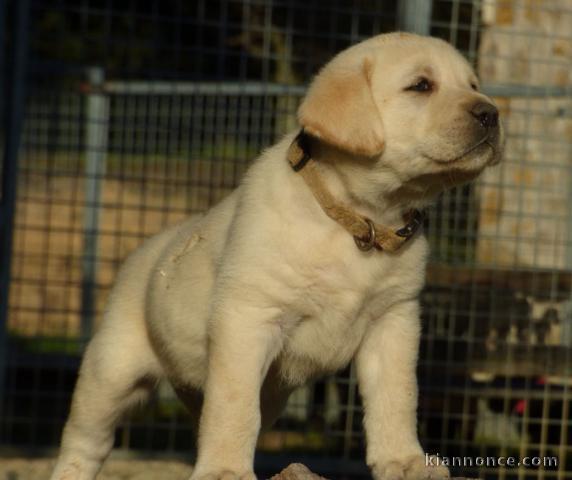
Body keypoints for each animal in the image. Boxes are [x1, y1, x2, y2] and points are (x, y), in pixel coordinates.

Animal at [51, 33, 502, 480]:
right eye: (421, 86)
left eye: (474, 85)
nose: (492, 114)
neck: (358, 221)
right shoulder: (248, 319)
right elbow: (234, 407)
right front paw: (224, 470)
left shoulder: (393, 323)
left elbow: (396, 398)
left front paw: (404, 461)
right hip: (111, 372)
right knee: (85, 439)